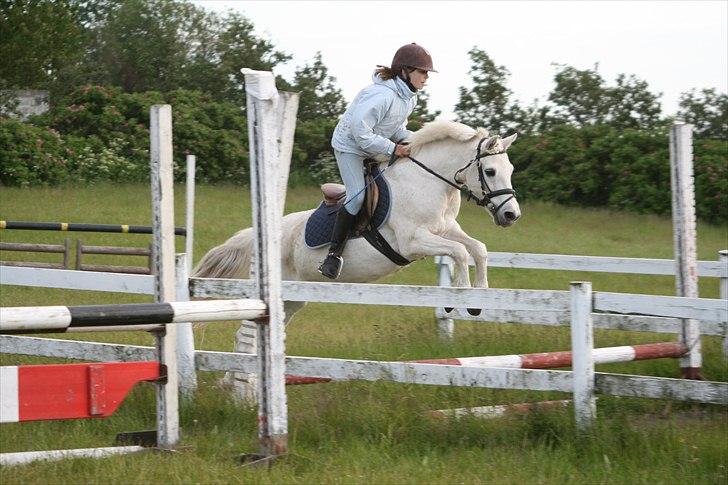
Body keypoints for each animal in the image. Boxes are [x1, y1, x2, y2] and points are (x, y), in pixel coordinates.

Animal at [193, 120, 520, 398]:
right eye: (490, 171)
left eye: (511, 168)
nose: (511, 215)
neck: (427, 182)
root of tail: (256, 236)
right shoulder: (413, 241)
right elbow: (461, 252)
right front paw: (459, 297)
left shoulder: (446, 230)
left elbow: (477, 248)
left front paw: (480, 296)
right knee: (245, 335)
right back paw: (241, 389)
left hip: (292, 299)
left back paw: (239, 384)